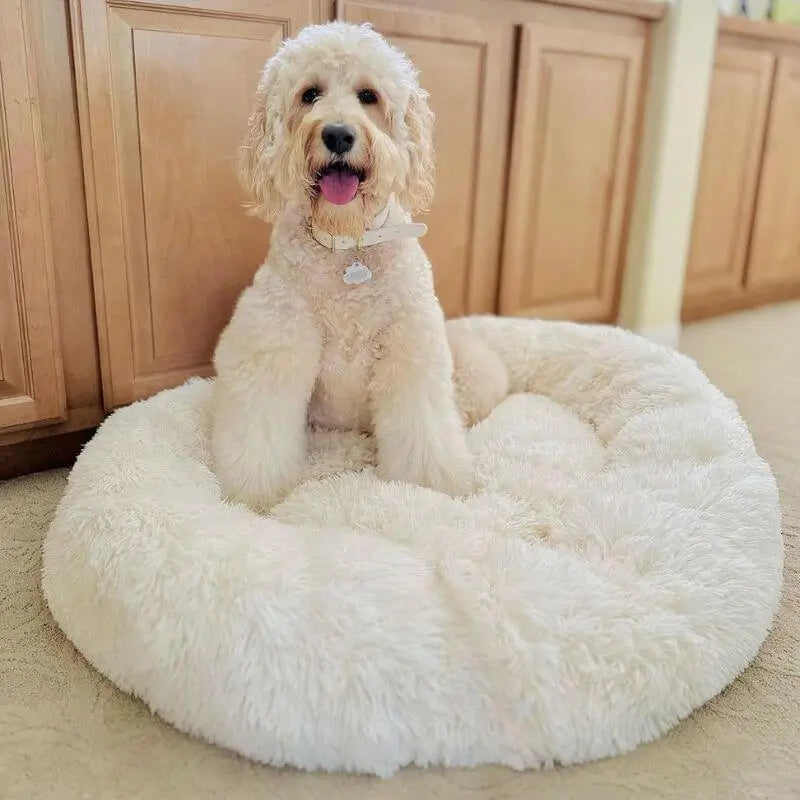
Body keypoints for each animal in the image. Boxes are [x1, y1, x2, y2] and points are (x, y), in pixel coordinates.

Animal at [212, 26, 506, 512]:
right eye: (309, 94)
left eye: (369, 95)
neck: (347, 247)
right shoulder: (275, 344)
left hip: (476, 371)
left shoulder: (411, 349)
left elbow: (423, 428)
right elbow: (261, 431)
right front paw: (255, 494)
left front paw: (428, 487)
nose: (337, 135)